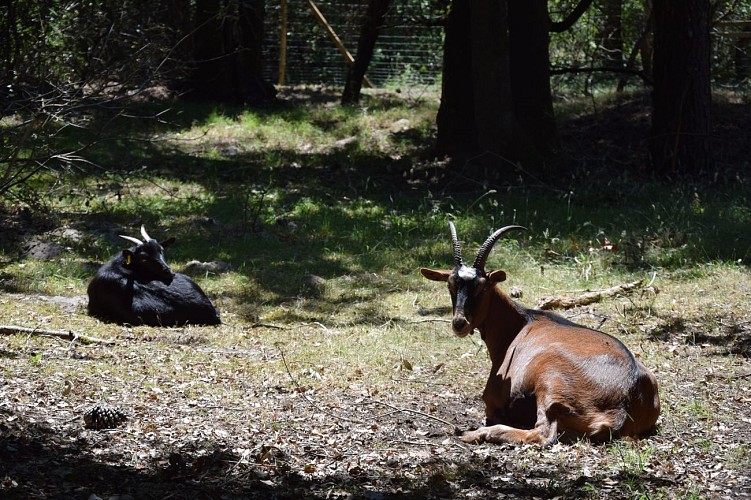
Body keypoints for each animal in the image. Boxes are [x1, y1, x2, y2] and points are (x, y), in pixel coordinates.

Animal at [420, 223, 660, 446]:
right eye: (450, 285)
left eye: (482, 287)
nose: (460, 323)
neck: (520, 324)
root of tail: (623, 404)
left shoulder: (493, 399)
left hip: (550, 382)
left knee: (543, 433)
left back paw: (477, 433)